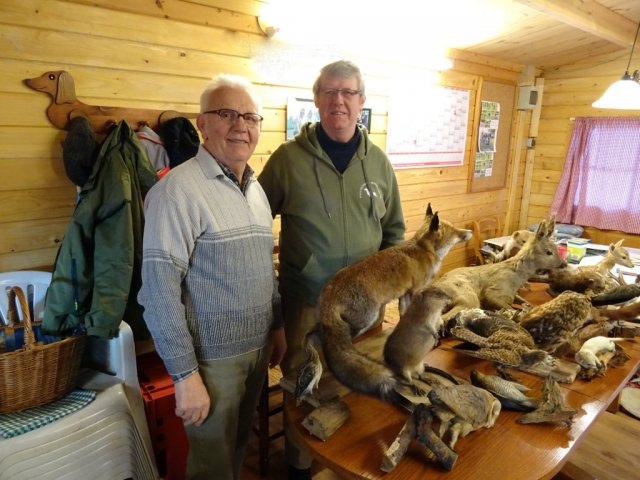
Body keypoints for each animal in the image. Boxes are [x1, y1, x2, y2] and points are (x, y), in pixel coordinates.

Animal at [318, 206, 472, 398]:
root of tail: (330, 287)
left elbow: (403, 315)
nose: (470, 232)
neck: (424, 251)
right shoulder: (416, 291)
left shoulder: (405, 294)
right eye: (456, 232)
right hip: (367, 319)